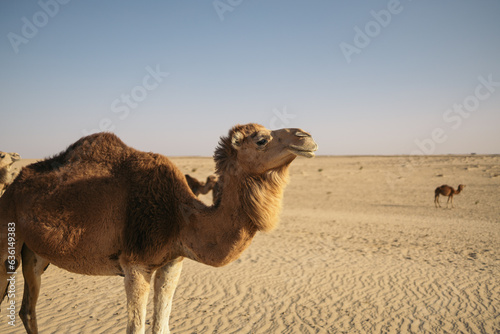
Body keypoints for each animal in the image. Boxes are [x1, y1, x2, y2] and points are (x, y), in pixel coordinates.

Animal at [0, 123, 318, 334]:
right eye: (262, 139)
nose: (306, 137)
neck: (181, 219)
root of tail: (14, 185)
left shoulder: (172, 263)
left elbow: (161, 326)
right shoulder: (135, 265)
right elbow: (136, 328)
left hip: (36, 254)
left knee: (28, 309)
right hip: (7, 238)